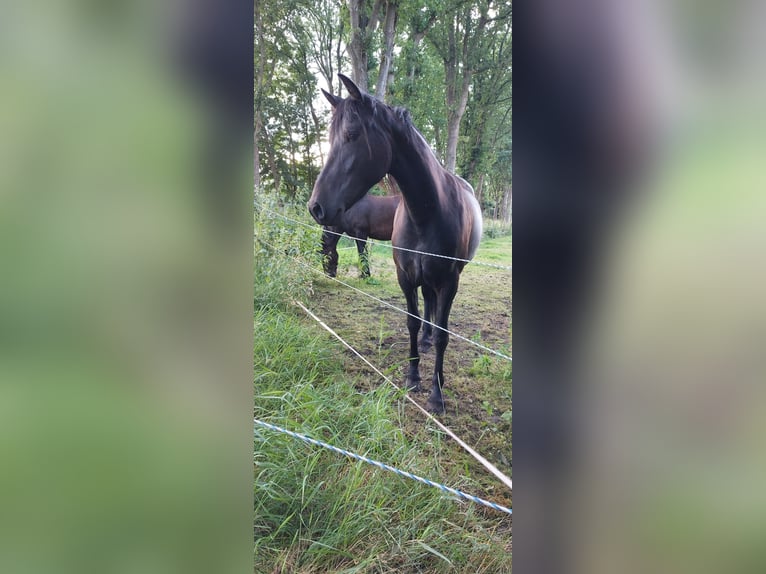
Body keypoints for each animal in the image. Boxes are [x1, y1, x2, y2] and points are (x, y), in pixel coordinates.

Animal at [308, 75, 484, 414]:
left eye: (351, 134)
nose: (316, 207)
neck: (426, 211)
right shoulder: (406, 277)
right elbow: (412, 322)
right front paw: (413, 376)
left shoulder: (449, 282)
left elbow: (443, 334)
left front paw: (436, 395)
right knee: (427, 305)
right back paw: (424, 341)